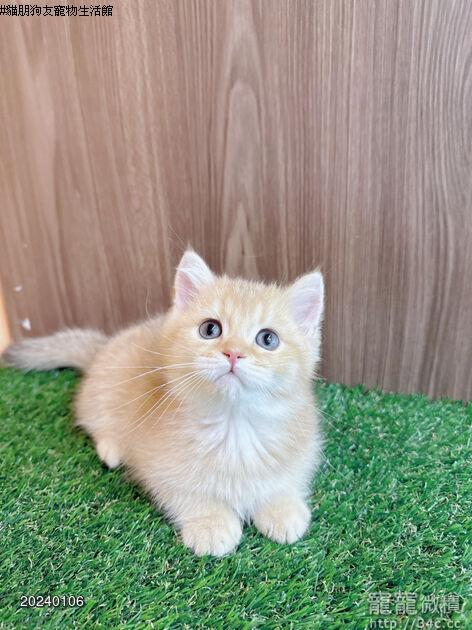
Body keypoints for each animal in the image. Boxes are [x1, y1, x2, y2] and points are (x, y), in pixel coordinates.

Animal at [3, 250, 324, 556]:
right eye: (210, 329)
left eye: (268, 339)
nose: (233, 353)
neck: (234, 424)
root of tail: (101, 348)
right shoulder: (158, 468)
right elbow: (187, 494)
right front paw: (211, 523)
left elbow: (287, 478)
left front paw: (283, 507)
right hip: (103, 395)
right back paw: (111, 449)